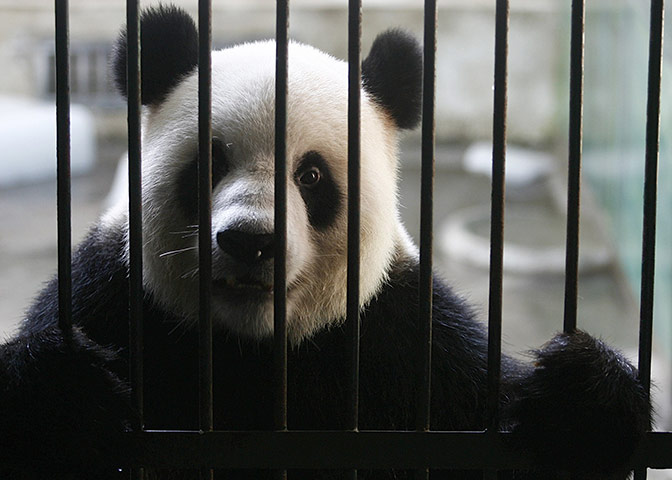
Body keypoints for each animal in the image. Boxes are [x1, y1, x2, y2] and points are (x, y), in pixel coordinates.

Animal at [0, 5, 651, 480]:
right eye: (211, 164)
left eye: (311, 176)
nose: (250, 242)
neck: (256, 346)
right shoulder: (115, 296)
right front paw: (61, 398)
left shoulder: (405, 341)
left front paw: (581, 405)